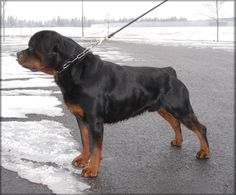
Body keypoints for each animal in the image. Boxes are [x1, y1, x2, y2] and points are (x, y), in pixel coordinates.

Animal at [16, 30, 209, 177]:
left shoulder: (95, 120)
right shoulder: (81, 118)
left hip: (180, 108)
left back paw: (205, 152)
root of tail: (170, 72)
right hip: (162, 108)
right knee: (175, 123)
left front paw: (92, 168)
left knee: (200, 128)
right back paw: (178, 141)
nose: (17, 54)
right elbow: (85, 141)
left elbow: (95, 146)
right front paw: (83, 159)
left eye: (31, 47)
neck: (73, 70)